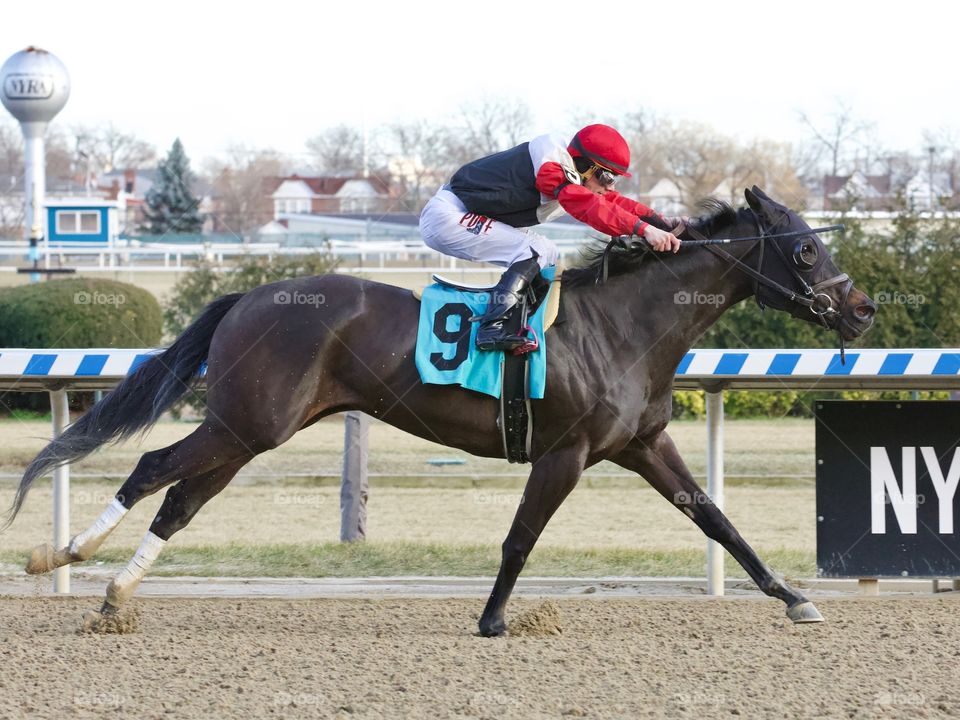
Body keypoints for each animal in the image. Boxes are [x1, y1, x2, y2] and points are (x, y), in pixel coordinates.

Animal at [5, 186, 876, 636]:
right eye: (805, 249)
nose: (862, 309)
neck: (624, 325)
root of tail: (251, 296)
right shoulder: (564, 454)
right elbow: (521, 537)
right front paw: (492, 620)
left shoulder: (642, 444)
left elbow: (717, 518)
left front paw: (794, 597)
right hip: (247, 423)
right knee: (154, 467)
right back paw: (63, 556)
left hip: (250, 432)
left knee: (181, 499)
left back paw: (116, 593)